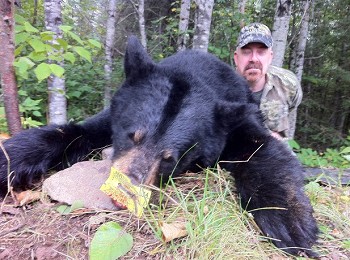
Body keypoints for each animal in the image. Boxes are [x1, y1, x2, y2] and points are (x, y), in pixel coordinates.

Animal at [0, 36, 318, 256]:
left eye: (170, 157)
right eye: (132, 135)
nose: (124, 192)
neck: (197, 71)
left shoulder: (235, 117)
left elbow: (263, 149)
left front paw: (290, 222)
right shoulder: (112, 115)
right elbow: (74, 132)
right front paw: (9, 160)